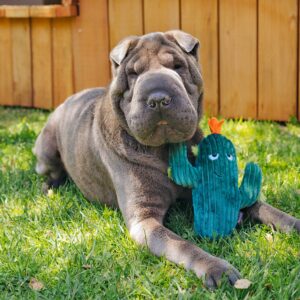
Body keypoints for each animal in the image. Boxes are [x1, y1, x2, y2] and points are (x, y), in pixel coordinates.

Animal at [33, 29, 300, 288]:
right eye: (133, 73)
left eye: (177, 66)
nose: (158, 98)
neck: (164, 151)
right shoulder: (145, 220)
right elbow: (183, 245)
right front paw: (217, 268)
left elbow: (267, 209)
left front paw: (293, 223)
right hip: (46, 148)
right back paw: (51, 186)